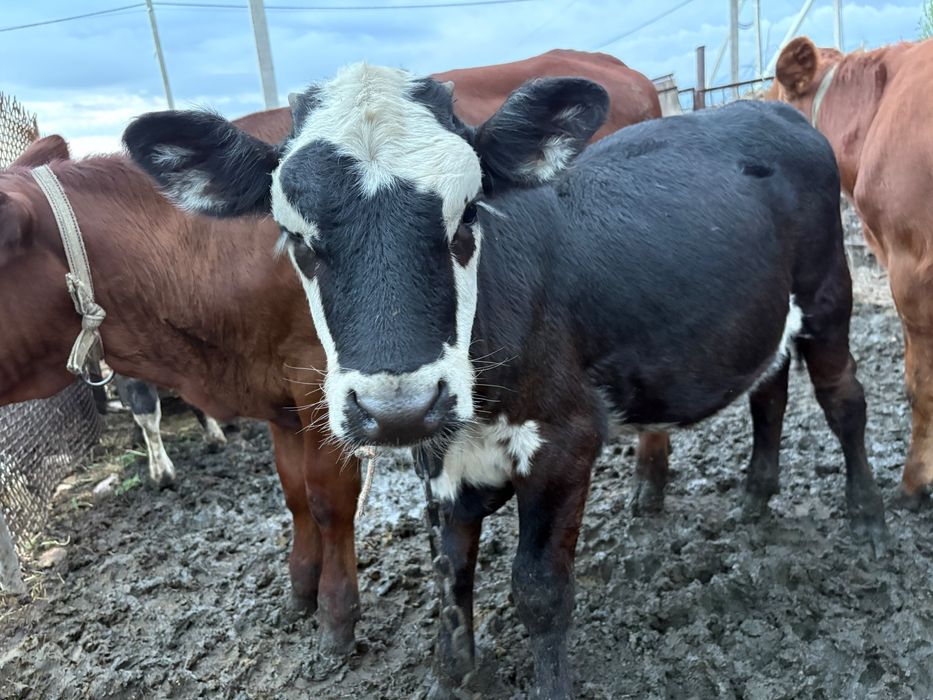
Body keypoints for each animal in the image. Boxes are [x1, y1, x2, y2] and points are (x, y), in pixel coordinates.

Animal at [0, 51, 659, 659]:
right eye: (293, 236)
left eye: (470, 212)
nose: (403, 409)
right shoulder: (282, 401)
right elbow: (293, 493)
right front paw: (301, 587)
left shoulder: (320, 389)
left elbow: (326, 499)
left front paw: (336, 615)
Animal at [123, 63, 887, 698]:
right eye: (299, 240)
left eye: (466, 216)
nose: (396, 408)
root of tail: (773, 109)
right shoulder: (438, 460)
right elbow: (450, 577)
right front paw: (451, 674)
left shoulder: (564, 442)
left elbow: (539, 591)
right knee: (769, 391)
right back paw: (757, 495)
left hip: (828, 296)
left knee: (844, 400)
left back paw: (866, 513)